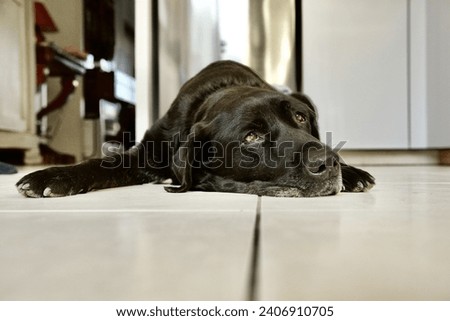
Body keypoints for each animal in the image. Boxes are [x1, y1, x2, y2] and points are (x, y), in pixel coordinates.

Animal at [16, 59, 372, 196]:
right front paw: (52, 176)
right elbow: (100, 163)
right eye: (251, 137)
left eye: (300, 118)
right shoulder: (146, 154)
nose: (326, 163)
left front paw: (351, 171)